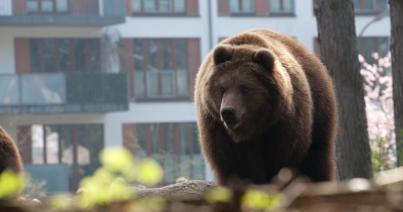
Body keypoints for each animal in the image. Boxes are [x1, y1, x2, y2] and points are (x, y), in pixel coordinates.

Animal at [195, 29, 338, 185]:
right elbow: (234, 164)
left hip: (319, 113)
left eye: (245, 88)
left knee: (317, 157)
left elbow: (281, 160)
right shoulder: (217, 129)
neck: (252, 128)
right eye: (222, 88)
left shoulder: (282, 125)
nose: (228, 112)